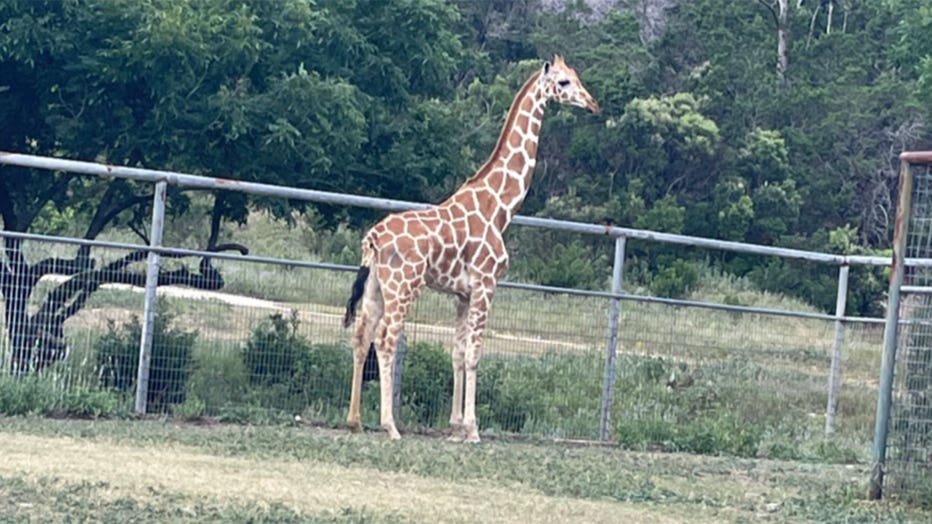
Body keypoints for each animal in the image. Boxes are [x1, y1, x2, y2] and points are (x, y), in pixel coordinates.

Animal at [343, 55, 599, 442]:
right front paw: (473, 429)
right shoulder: (486, 285)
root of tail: (373, 238)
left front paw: (455, 427)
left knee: (362, 336)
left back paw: (354, 420)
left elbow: (458, 352)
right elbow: (476, 353)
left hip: (376, 289)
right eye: (565, 82)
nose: (593, 103)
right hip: (403, 287)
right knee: (386, 339)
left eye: (577, 77)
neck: (500, 208)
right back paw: (390, 425)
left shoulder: (462, 293)